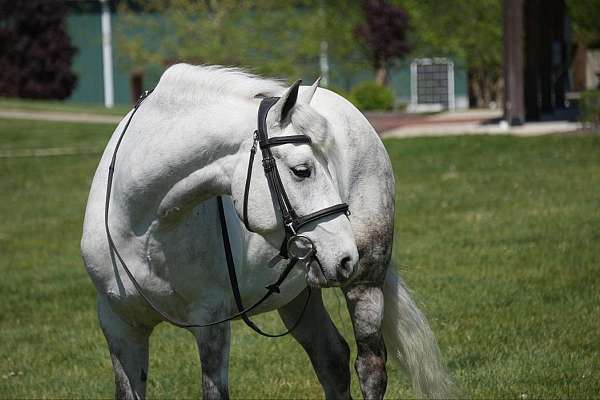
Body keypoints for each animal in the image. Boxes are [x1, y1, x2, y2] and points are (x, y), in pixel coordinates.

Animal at [81, 64, 454, 398]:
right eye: (302, 170)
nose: (347, 256)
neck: (142, 228)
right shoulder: (119, 326)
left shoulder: (211, 324)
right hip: (299, 293)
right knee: (331, 358)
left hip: (365, 283)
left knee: (370, 367)